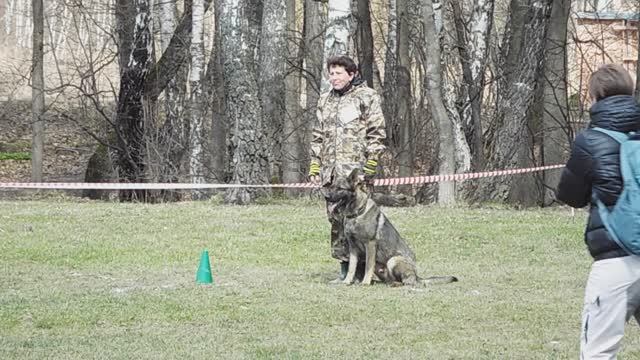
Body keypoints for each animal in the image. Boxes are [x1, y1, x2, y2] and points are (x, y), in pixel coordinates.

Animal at [324, 169, 456, 286]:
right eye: (332, 187)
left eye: (340, 188)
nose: (326, 196)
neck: (356, 214)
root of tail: (417, 276)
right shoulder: (352, 248)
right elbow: (352, 267)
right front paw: (347, 281)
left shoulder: (370, 244)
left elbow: (368, 266)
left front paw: (365, 282)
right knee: (393, 280)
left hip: (393, 260)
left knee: (407, 282)